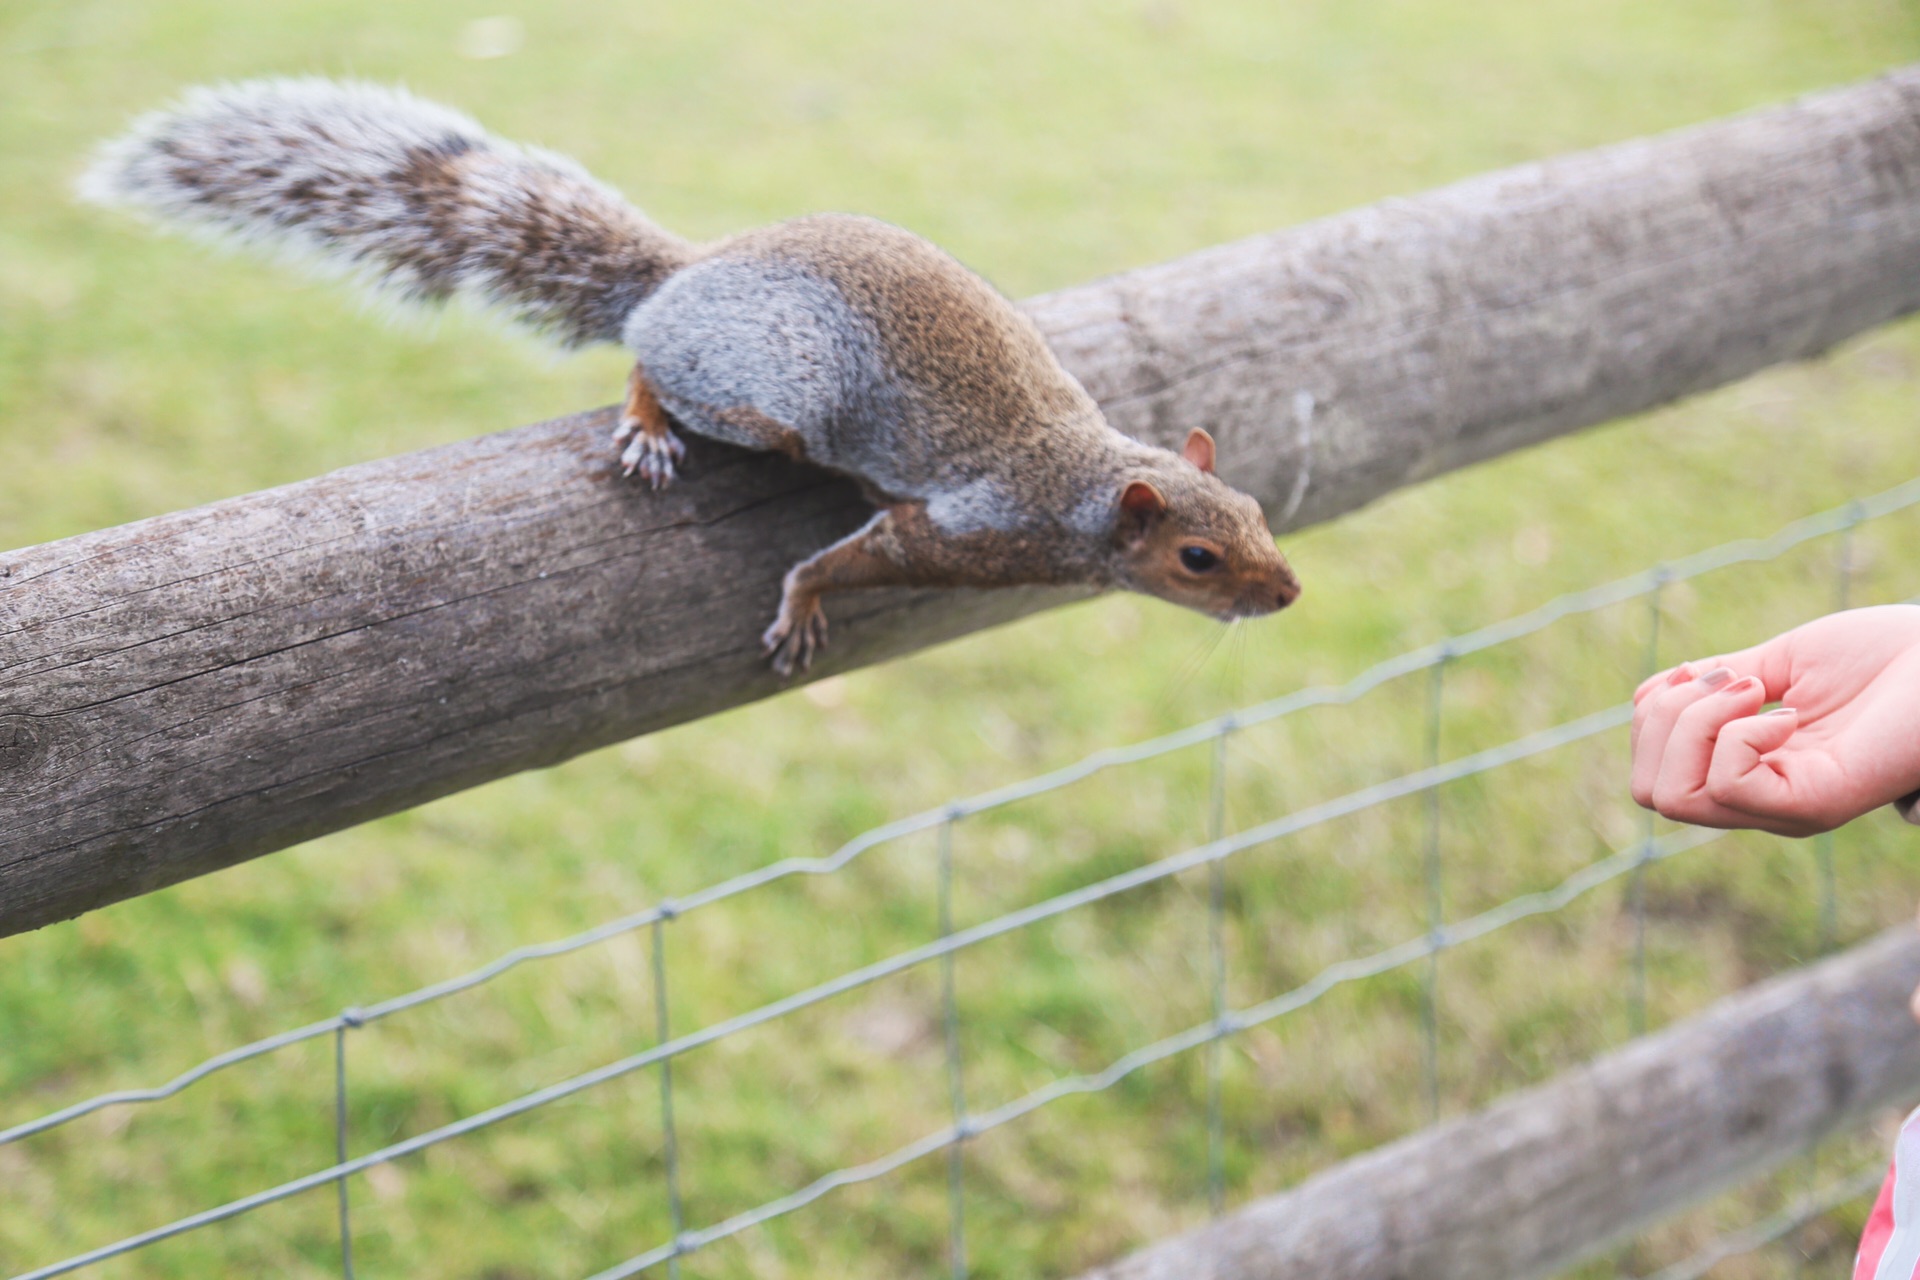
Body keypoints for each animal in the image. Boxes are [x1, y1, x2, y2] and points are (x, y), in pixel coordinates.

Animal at [78, 77, 1305, 679]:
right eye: (1198, 560)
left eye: (1253, 508)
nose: (1288, 592)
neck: (1084, 478)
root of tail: (685, 276)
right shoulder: (959, 533)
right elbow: (851, 556)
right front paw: (804, 605)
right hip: (773, 398)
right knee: (647, 363)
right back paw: (649, 425)